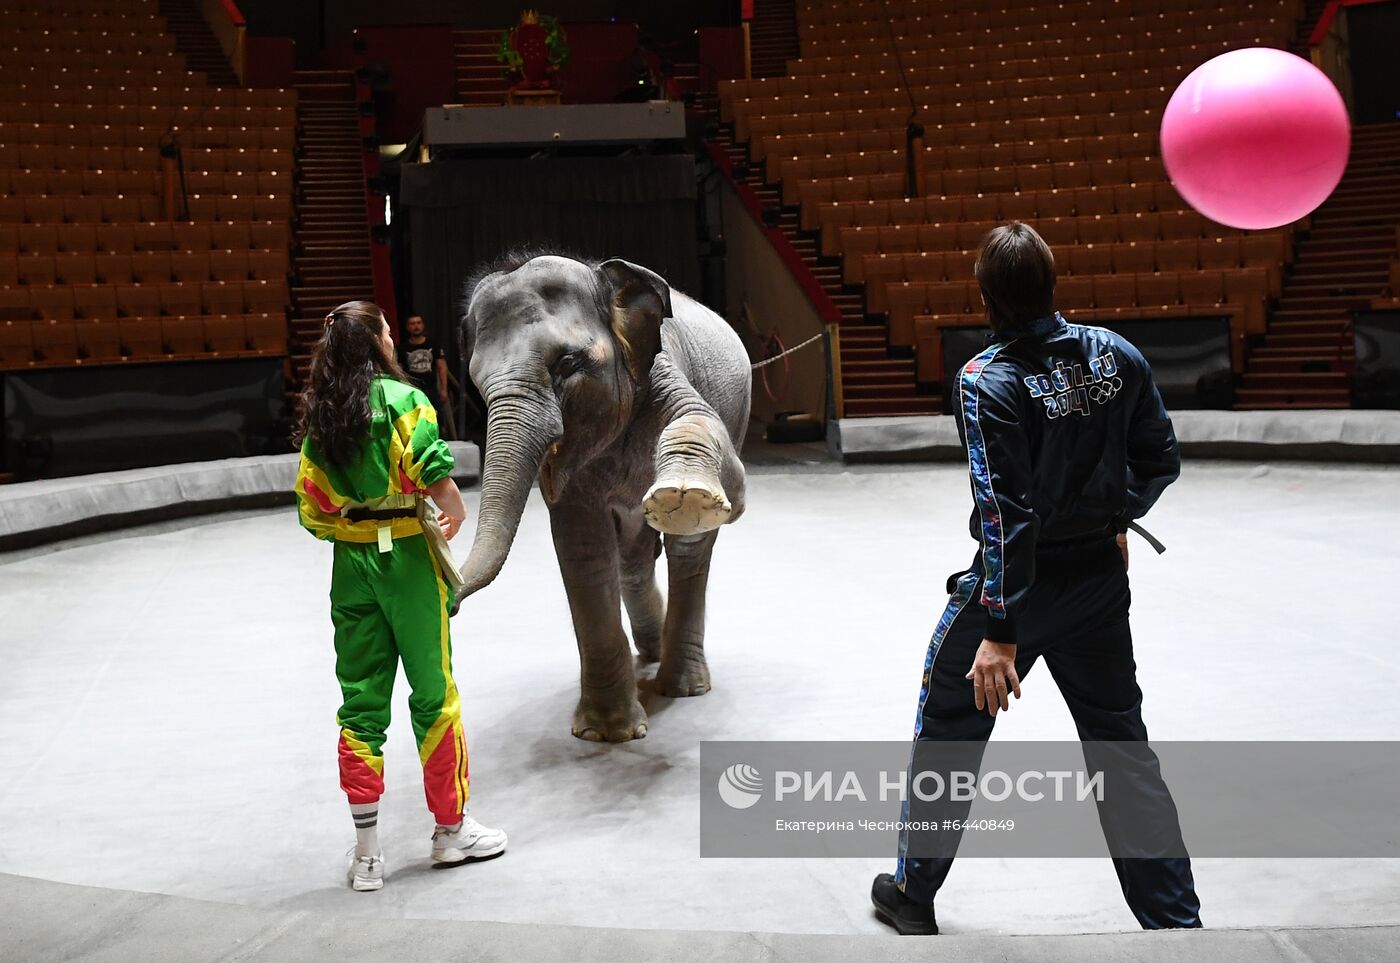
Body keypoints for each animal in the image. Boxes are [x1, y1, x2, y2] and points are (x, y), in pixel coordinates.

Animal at [456, 251, 756, 739]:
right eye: (477, 382)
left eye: (568, 364)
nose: (451, 605)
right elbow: (583, 545)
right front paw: (607, 733)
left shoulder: (660, 373)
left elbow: (729, 472)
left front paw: (684, 498)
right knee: (632, 556)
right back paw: (651, 651)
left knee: (688, 551)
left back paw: (684, 686)